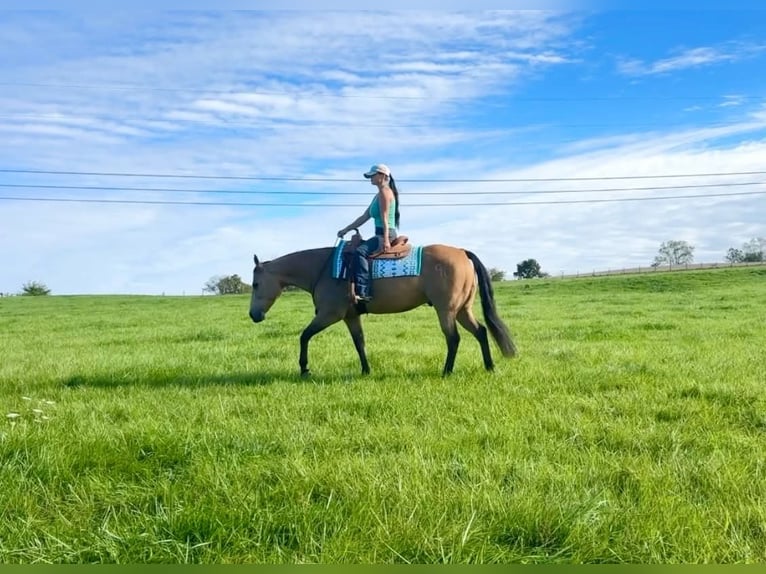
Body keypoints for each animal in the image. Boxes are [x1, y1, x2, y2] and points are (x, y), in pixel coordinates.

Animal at [248, 242, 517, 377]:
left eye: (256, 284)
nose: (253, 315)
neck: (324, 269)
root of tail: (462, 252)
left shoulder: (329, 315)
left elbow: (304, 336)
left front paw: (304, 368)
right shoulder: (350, 316)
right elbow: (359, 343)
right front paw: (366, 370)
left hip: (447, 310)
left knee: (453, 339)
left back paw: (447, 371)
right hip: (463, 310)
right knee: (481, 331)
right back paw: (489, 367)